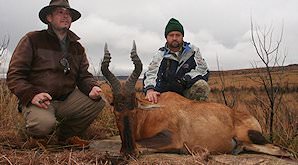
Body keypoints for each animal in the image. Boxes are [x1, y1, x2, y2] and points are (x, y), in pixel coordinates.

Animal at [100, 41, 292, 157]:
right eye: (115, 108)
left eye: (134, 109)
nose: (128, 151)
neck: (151, 113)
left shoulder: (171, 139)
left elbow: (141, 145)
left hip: (251, 135)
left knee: (282, 150)